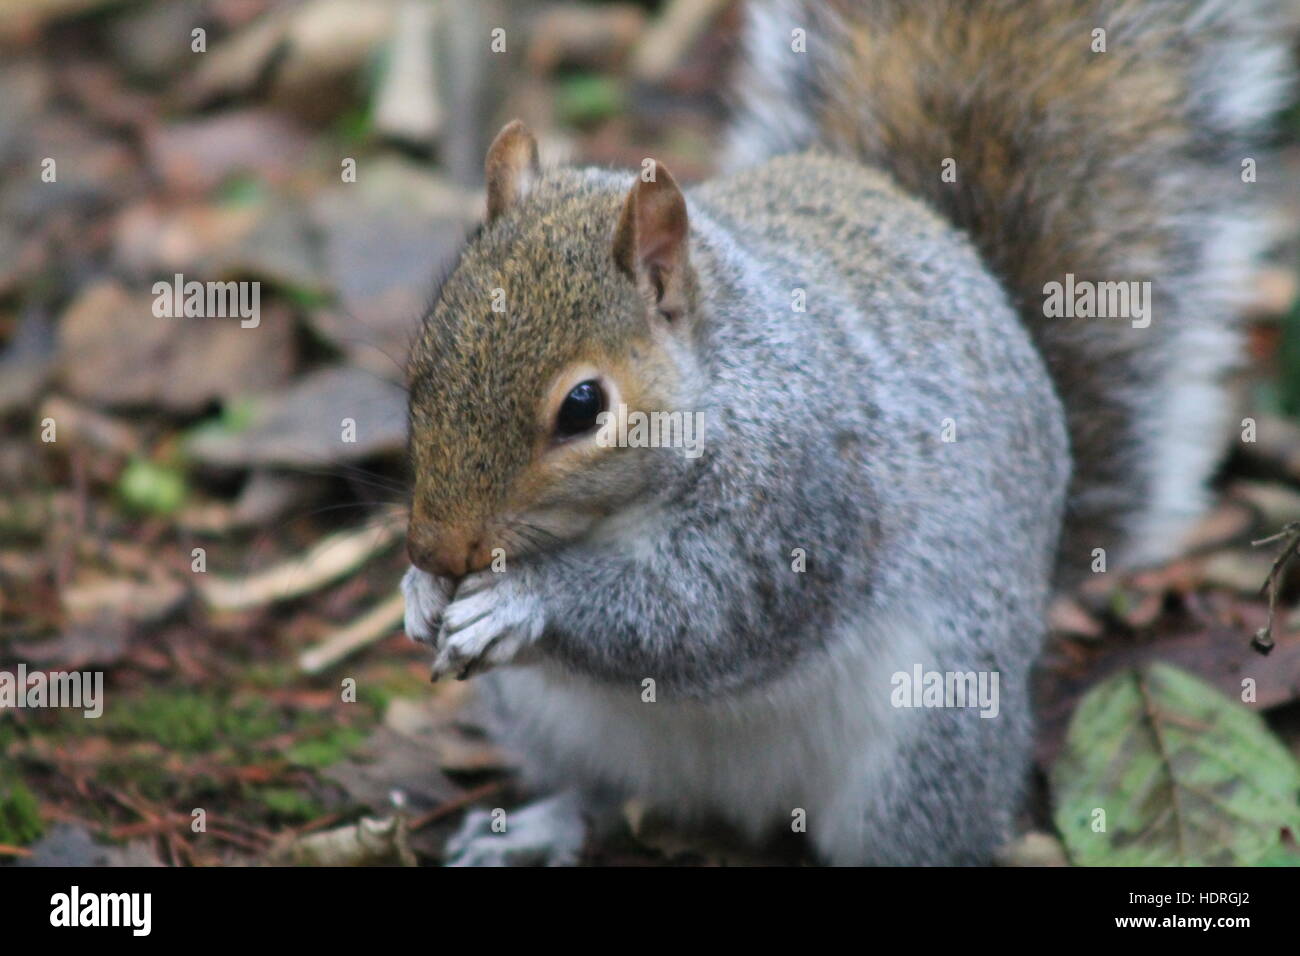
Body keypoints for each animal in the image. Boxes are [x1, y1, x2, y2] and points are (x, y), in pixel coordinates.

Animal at [400, 0, 1294, 868]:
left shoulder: (803, 499)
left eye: (584, 407)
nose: (436, 550)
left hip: (927, 739)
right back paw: (534, 826)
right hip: (544, 718)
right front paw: (419, 597)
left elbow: (706, 614)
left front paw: (523, 597)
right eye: (422, 355)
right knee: (599, 792)